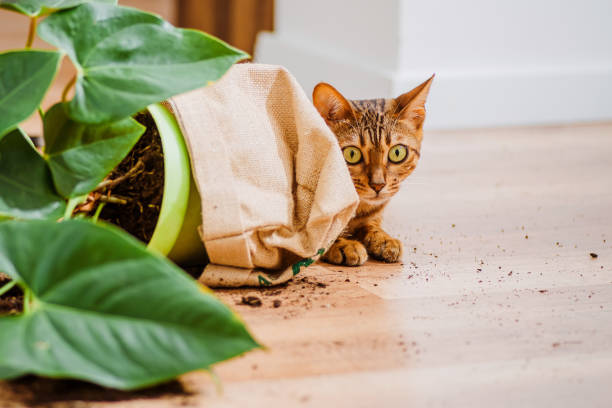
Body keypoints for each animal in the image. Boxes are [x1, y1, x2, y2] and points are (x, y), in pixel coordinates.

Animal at [310, 75, 436, 266]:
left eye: (397, 152)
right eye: (352, 154)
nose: (378, 185)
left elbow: (371, 224)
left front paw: (383, 239)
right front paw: (344, 244)